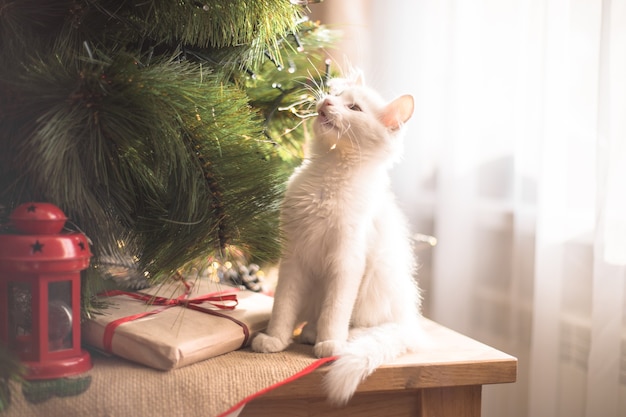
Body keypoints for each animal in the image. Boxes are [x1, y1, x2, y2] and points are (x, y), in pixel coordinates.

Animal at [251, 73, 422, 404]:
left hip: (375, 285)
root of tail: (409, 319)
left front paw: (329, 343)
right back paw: (308, 332)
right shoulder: (294, 257)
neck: (327, 179)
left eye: (353, 107)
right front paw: (275, 339)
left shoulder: (347, 261)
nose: (327, 101)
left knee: (364, 325)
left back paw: (338, 338)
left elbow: (335, 310)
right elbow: (283, 307)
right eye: (336, 95)